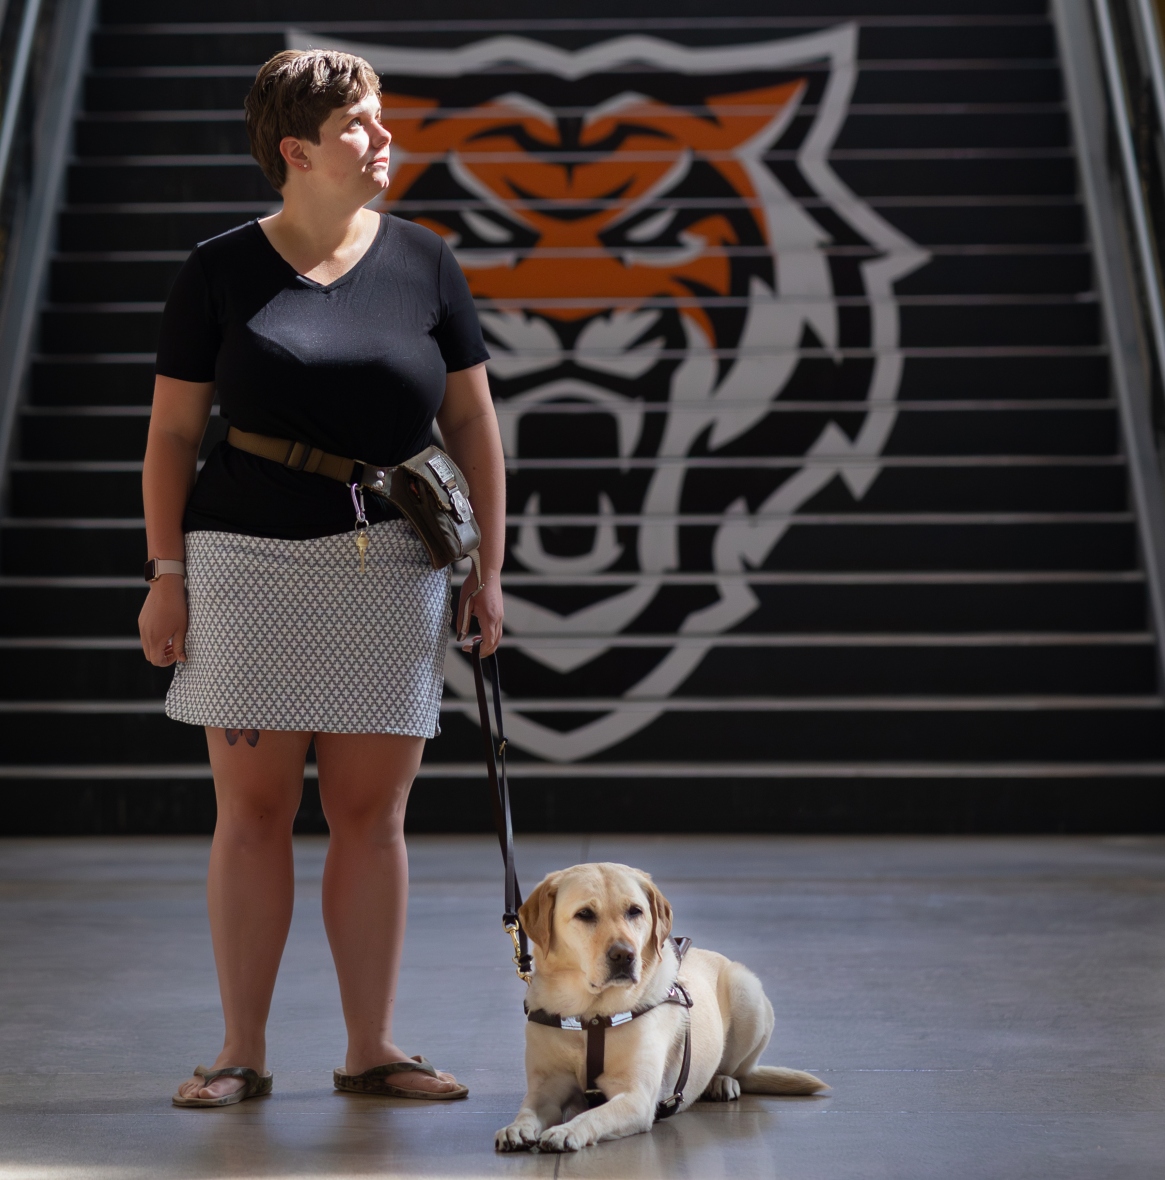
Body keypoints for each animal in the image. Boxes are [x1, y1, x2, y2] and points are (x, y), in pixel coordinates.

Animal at [495, 859, 826, 1151]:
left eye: (635, 911)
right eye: (585, 914)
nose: (624, 955)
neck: (592, 1016)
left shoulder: (636, 1096)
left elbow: (594, 1114)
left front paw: (566, 1131)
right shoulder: (545, 1089)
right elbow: (528, 1110)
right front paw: (516, 1128)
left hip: (747, 991)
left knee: (739, 1070)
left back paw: (721, 1081)